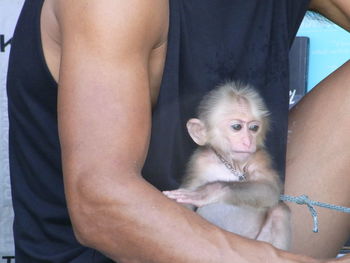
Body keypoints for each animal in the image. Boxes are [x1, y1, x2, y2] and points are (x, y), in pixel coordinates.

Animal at [165, 83, 292, 252]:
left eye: (254, 128)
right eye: (237, 127)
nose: (248, 141)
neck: (230, 163)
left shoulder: (260, 158)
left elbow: (269, 188)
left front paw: (208, 192)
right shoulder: (198, 161)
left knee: (280, 211)